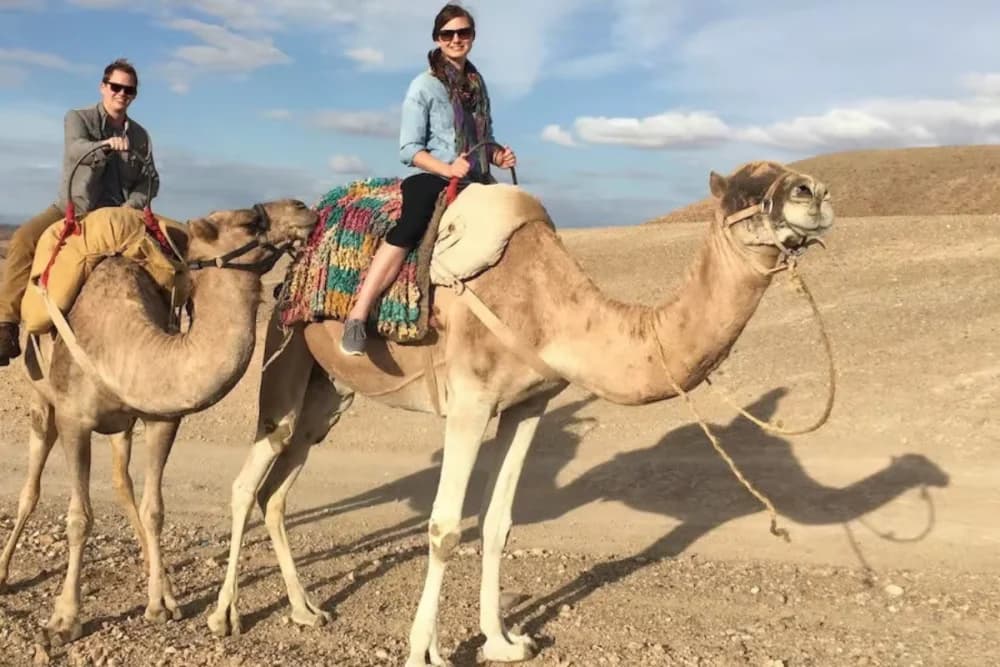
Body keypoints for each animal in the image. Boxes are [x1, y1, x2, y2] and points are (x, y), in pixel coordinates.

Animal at [0, 199, 317, 646]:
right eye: (249, 220)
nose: (303, 208)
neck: (123, 338)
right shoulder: (74, 419)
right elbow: (79, 519)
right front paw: (65, 619)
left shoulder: (159, 419)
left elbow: (154, 510)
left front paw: (159, 605)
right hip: (41, 400)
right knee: (32, 484)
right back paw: (4, 573)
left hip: (121, 425)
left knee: (122, 481)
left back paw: (162, 580)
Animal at [205, 160, 835, 666]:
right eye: (747, 190)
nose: (816, 191)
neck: (551, 306)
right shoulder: (470, 403)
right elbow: (443, 528)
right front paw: (423, 652)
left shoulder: (528, 405)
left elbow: (497, 523)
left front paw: (502, 641)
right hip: (285, 352)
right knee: (248, 478)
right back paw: (223, 616)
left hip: (330, 394)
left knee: (278, 489)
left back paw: (306, 610)